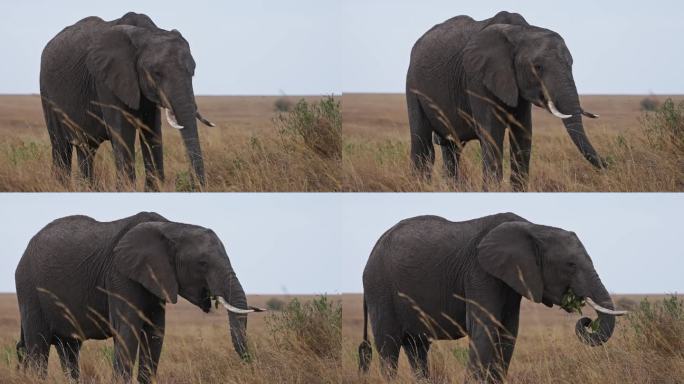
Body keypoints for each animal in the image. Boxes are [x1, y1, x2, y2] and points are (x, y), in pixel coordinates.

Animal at [15, 212, 264, 382]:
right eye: (202, 264)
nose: (251, 365)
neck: (171, 227)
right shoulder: (119, 275)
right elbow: (127, 330)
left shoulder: (156, 282)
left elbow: (155, 333)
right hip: (28, 287)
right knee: (38, 345)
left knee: (69, 348)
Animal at [38, 12, 215, 190]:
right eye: (156, 74)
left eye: (192, 72)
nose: (192, 186)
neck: (147, 32)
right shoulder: (107, 79)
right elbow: (123, 133)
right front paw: (127, 190)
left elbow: (152, 131)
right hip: (47, 92)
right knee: (61, 146)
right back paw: (60, 186)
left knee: (86, 147)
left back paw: (86, 188)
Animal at [360, 214, 628, 382]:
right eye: (570, 265)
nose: (586, 320)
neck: (533, 227)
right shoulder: (480, 273)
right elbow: (484, 329)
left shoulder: (509, 283)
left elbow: (508, 333)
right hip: (380, 288)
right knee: (388, 345)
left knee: (417, 347)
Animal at [406, 11, 604, 191]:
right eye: (538, 67)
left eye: (571, 64)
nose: (607, 164)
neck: (522, 31)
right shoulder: (478, 78)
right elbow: (492, 134)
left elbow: (523, 134)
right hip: (412, 84)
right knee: (422, 145)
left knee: (452, 148)